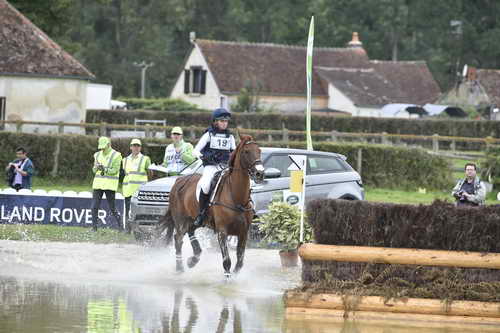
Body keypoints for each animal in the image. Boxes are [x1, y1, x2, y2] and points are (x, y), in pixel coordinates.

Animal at [159, 134, 266, 276]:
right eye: (246, 152)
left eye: (259, 151)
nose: (260, 173)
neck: (236, 197)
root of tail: (179, 180)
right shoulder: (222, 232)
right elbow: (227, 261)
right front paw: (227, 278)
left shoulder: (244, 233)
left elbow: (240, 261)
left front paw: (235, 276)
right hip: (181, 220)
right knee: (178, 239)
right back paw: (180, 268)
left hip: (195, 220)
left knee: (190, 231)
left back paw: (193, 259)